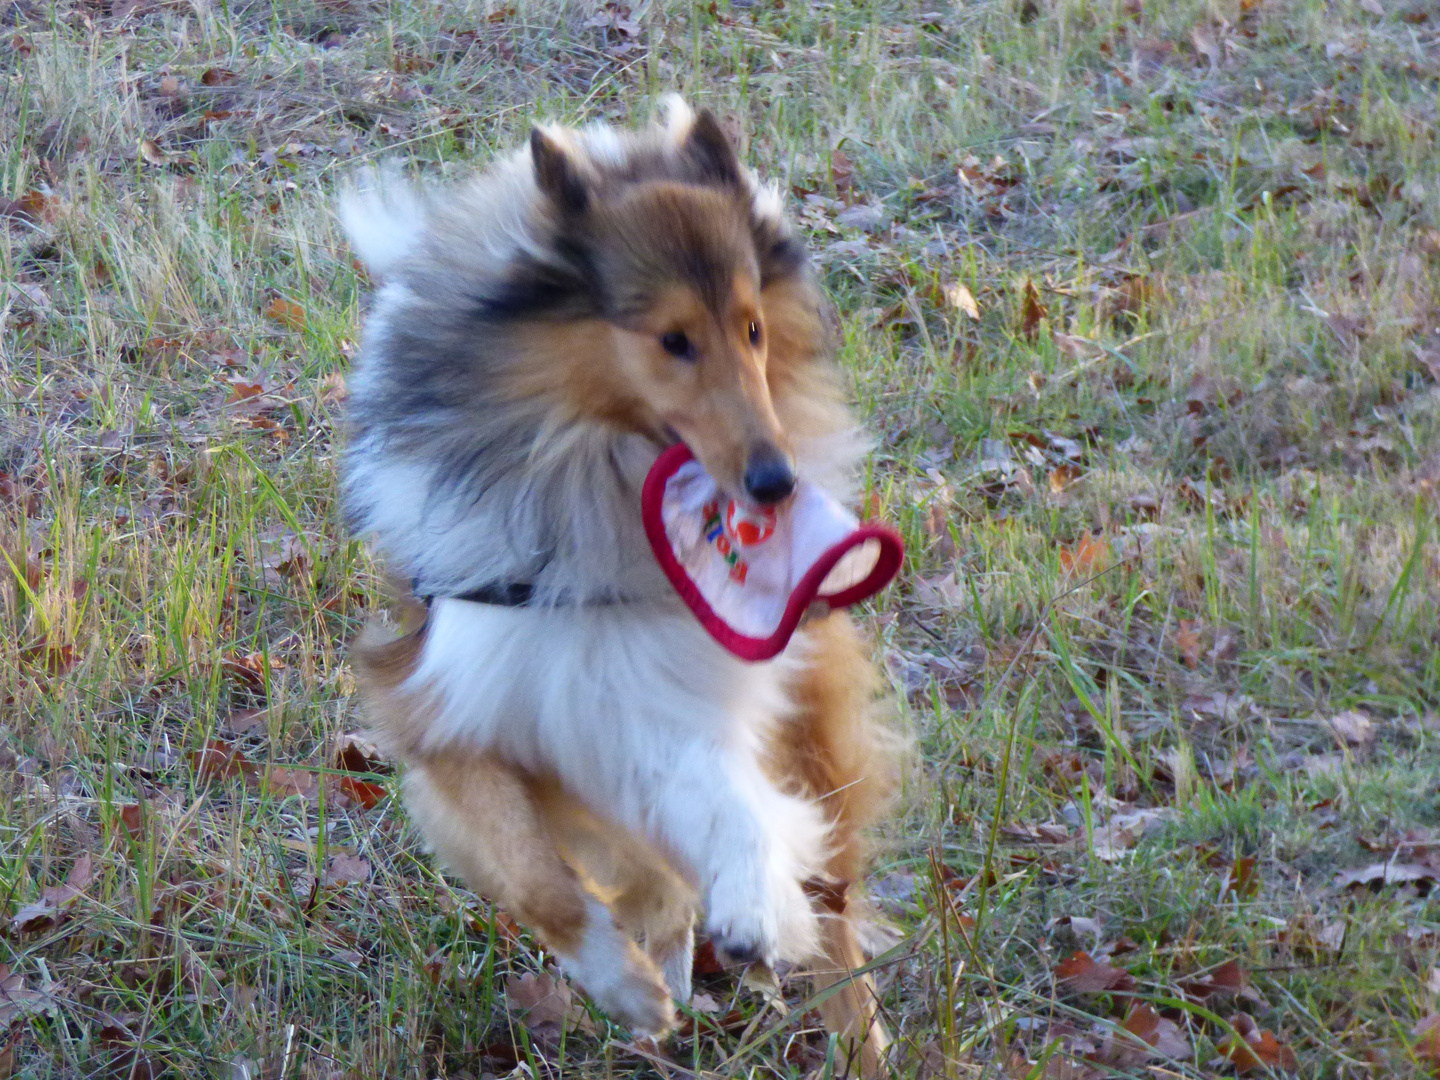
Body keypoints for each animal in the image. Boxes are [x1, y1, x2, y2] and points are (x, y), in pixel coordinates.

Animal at [341, 99, 892, 1077]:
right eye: (672, 340)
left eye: (753, 328)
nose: (776, 483)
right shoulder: (457, 711)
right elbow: (538, 879)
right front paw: (627, 986)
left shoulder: (664, 690)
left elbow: (732, 808)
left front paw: (752, 908)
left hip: (809, 728)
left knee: (831, 907)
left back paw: (845, 1020)